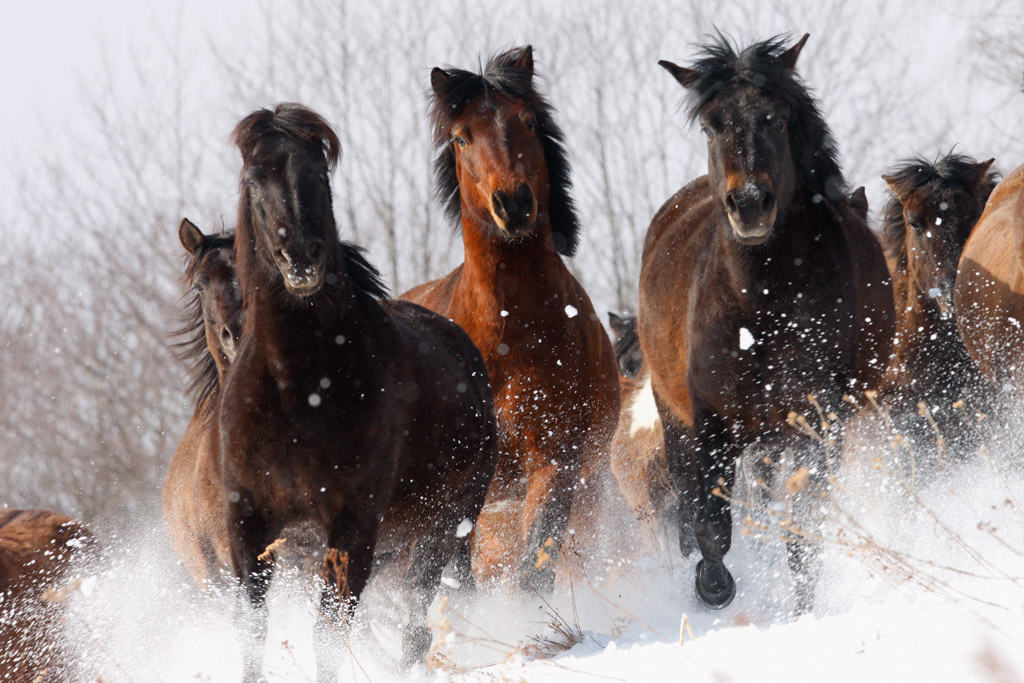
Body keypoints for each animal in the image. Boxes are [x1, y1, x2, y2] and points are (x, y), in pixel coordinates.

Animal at [208, 103, 497, 681]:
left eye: (320, 172)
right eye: (254, 179)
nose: (301, 256)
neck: (296, 389)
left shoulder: (353, 528)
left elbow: (326, 637)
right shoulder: (248, 525)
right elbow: (252, 634)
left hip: (442, 526)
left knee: (415, 620)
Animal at [400, 46, 621, 591]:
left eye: (528, 121)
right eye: (461, 136)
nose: (514, 202)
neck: (508, 336)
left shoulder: (556, 465)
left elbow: (534, 569)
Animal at [642, 34, 894, 611]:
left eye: (776, 119)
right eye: (710, 125)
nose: (751, 203)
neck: (760, 309)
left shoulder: (817, 418)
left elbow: (804, 524)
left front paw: (801, 606)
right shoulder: (707, 421)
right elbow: (711, 523)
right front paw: (713, 588)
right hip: (672, 415)